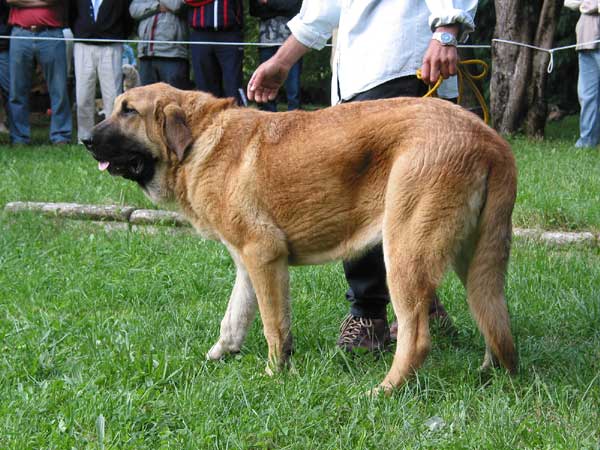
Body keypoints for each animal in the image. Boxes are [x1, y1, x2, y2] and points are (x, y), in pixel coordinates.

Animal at [83, 82, 516, 392]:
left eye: (129, 111)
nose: (85, 140)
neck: (199, 139)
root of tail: (490, 140)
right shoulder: (246, 264)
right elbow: (233, 317)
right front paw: (219, 355)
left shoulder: (263, 255)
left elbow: (273, 326)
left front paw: (276, 372)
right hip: (472, 260)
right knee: (493, 317)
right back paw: (491, 370)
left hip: (404, 255)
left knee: (418, 337)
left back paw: (385, 390)